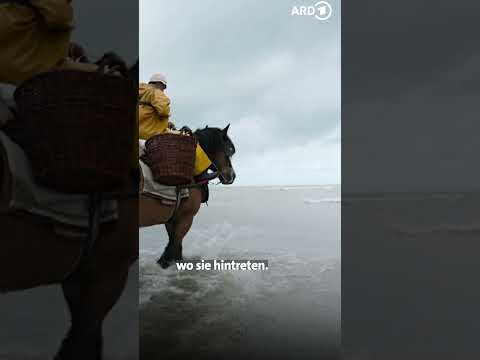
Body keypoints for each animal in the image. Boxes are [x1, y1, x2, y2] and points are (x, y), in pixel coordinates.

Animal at [139, 124, 236, 268]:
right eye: (228, 149)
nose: (232, 175)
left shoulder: (173, 219)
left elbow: (175, 249)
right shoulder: (186, 218)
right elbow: (172, 249)